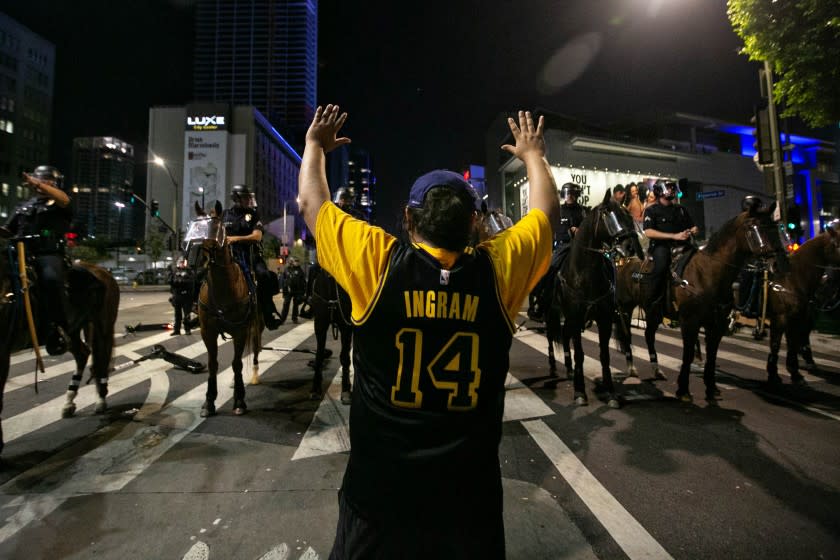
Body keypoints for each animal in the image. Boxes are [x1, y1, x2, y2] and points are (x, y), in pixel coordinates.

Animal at [0, 245, 120, 456]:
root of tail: (102, 270)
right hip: (73, 329)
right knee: (83, 354)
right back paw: (69, 401)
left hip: (102, 325)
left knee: (100, 360)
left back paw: (100, 399)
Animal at [185, 201, 260, 416]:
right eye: (193, 227)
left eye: (214, 229)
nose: (191, 260)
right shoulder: (207, 331)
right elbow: (212, 364)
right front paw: (209, 401)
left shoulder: (240, 331)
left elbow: (237, 363)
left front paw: (239, 400)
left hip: (255, 325)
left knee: (255, 350)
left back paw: (253, 376)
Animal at [306, 266, 352, 402]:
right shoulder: (320, 325)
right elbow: (319, 355)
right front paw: (315, 389)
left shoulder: (346, 327)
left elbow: (345, 357)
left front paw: (346, 389)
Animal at [544, 188, 644, 406]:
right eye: (608, 213)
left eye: (628, 216)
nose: (631, 247)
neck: (585, 274)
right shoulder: (575, 317)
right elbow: (580, 354)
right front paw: (580, 392)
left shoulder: (604, 319)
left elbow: (604, 355)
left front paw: (610, 392)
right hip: (551, 314)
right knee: (551, 338)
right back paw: (553, 367)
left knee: (564, 336)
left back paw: (568, 368)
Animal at [764, 221, 840, 382]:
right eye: (838, 244)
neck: (792, 278)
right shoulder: (780, 318)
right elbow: (776, 344)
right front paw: (773, 374)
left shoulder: (797, 318)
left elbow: (793, 342)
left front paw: (795, 372)